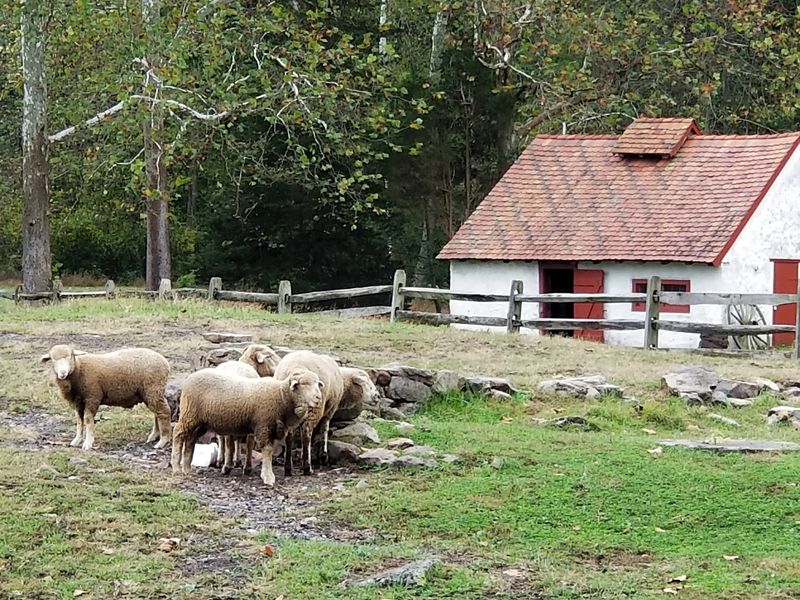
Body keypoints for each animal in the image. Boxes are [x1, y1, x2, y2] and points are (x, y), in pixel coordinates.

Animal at [40, 344, 171, 451]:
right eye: (53, 359)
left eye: (70, 356)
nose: (62, 373)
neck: (79, 369)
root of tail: (164, 361)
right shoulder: (78, 402)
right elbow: (79, 421)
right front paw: (77, 440)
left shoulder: (92, 397)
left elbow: (88, 420)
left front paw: (88, 443)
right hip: (149, 393)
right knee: (157, 414)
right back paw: (154, 436)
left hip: (153, 389)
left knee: (164, 412)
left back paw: (163, 440)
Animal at [170, 367, 324, 486]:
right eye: (304, 383)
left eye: (318, 384)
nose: (318, 398)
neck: (281, 397)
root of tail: (190, 378)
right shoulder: (263, 425)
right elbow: (267, 450)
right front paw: (268, 477)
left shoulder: (272, 428)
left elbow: (270, 451)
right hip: (189, 413)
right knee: (178, 433)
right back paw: (176, 467)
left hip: (200, 421)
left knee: (190, 439)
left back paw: (187, 469)